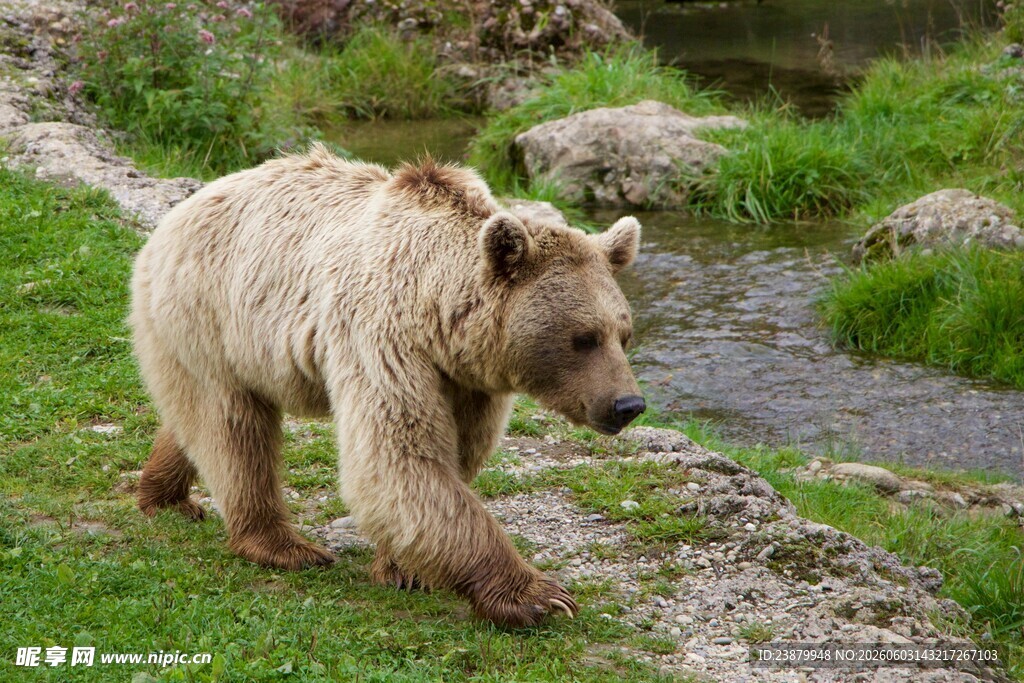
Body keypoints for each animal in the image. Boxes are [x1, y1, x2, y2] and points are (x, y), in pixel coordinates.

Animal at [129, 144, 645, 626]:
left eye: (623, 333)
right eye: (583, 338)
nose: (628, 404)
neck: (439, 314)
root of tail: (178, 213)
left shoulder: (466, 379)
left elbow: (454, 455)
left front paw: (405, 568)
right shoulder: (381, 339)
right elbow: (398, 456)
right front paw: (540, 596)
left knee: (197, 420)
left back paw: (166, 497)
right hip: (211, 313)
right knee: (233, 428)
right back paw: (283, 545)